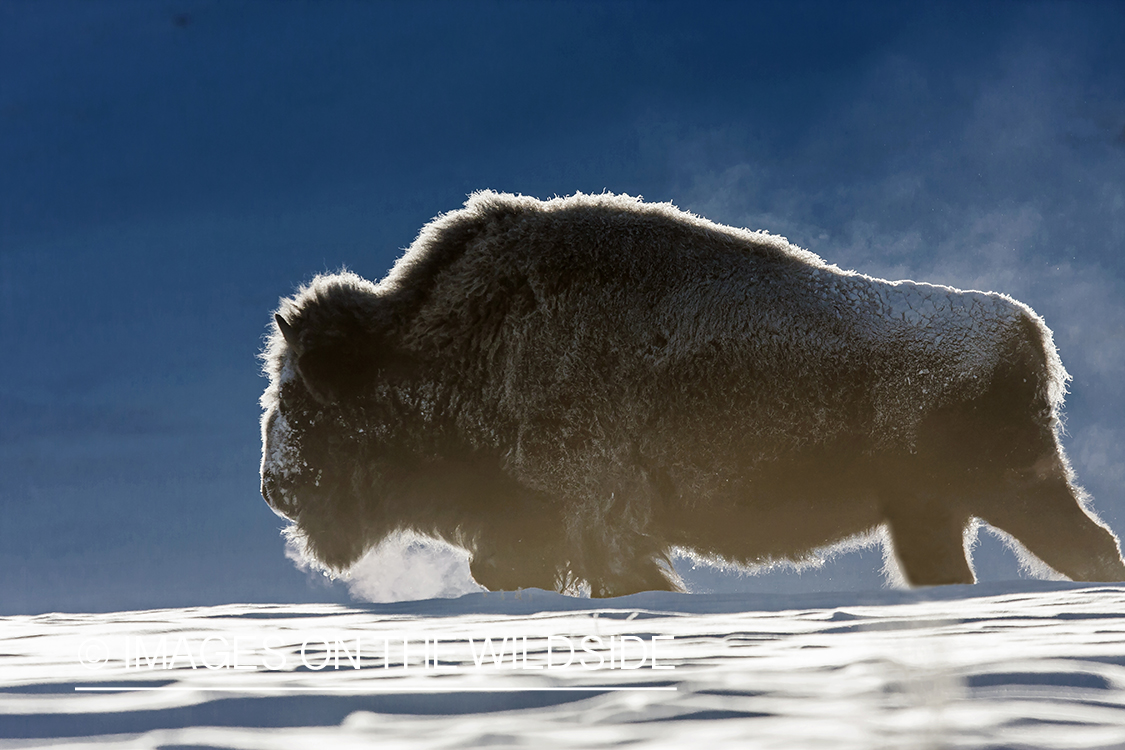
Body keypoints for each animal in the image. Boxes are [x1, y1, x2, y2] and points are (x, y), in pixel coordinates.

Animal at [257, 191, 1125, 593]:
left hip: (1011, 486)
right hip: (929, 514)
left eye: (299, 401)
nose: (275, 487)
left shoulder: (594, 515)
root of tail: (1024, 329)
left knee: (1088, 547)